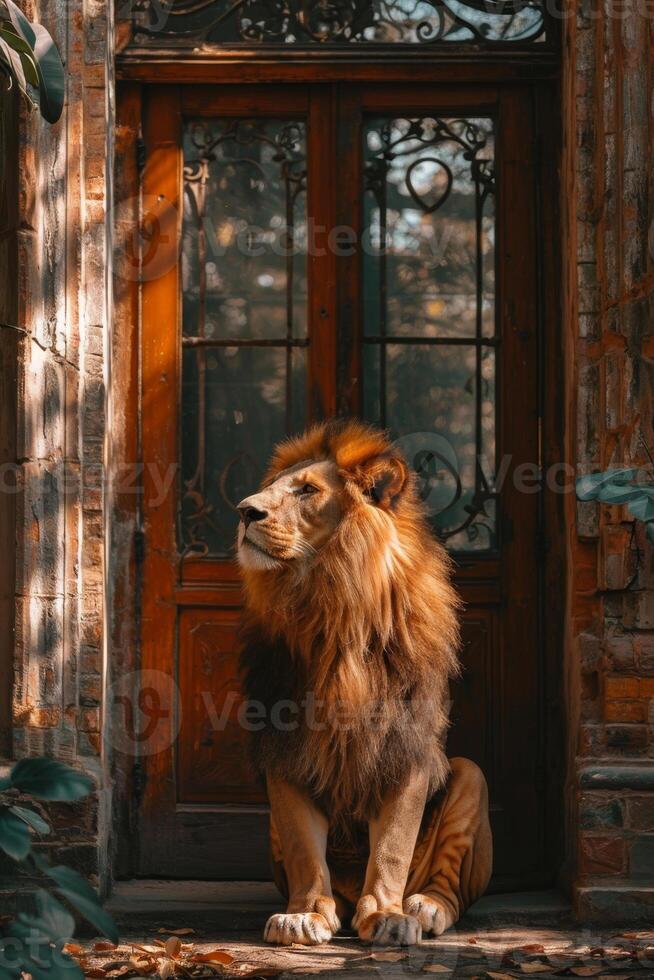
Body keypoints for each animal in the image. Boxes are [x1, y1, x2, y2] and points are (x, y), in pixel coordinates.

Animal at [237, 424, 492, 948]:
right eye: (271, 487)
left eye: (307, 491)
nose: (244, 511)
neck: (333, 611)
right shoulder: (285, 749)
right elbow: (303, 845)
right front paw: (303, 915)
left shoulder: (406, 748)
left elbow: (392, 847)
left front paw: (388, 916)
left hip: (470, 775)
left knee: (450, 887)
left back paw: (424, 907)